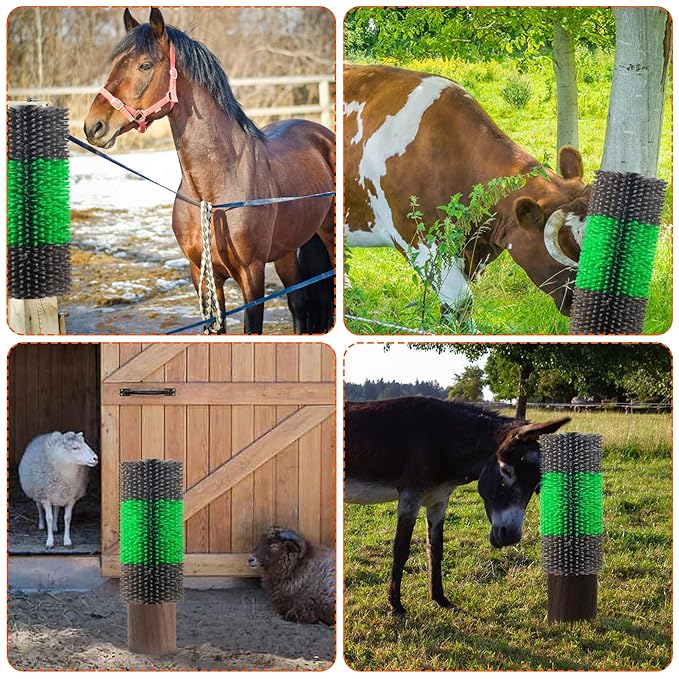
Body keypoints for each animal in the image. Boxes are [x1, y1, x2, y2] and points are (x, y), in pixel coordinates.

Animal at [84, 7, 335, 333]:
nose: (94, 126)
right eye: (114, 64)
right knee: (299, 304)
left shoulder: (252, 275)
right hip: (289, 250)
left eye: (145, 65)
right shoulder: (203, 275)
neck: (213, 191)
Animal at [345, 396, 569, 618]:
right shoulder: (410, 496)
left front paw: (440, 599)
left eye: (537, 485)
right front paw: (395, 604)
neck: (443, 440)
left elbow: (435, 549)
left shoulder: (438, 501)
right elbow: (401, 549)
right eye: (506, 470)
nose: (510, 538)